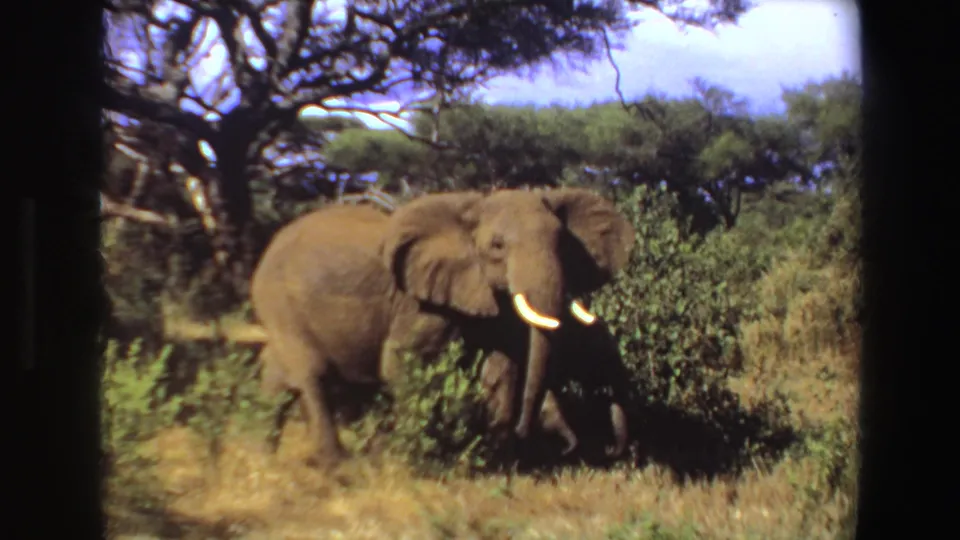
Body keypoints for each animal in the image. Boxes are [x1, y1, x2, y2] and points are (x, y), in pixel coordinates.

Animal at [250, 187, 635, 467]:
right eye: (497, 246)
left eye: (565, 244)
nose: (525, 432)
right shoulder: (420, 303)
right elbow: (401, 360)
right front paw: (413, 457)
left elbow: (502, 367)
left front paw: (499, 459)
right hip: (279, 300)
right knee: (311, 372)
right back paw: (336, 465)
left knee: (279, 376)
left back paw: (264, 456)